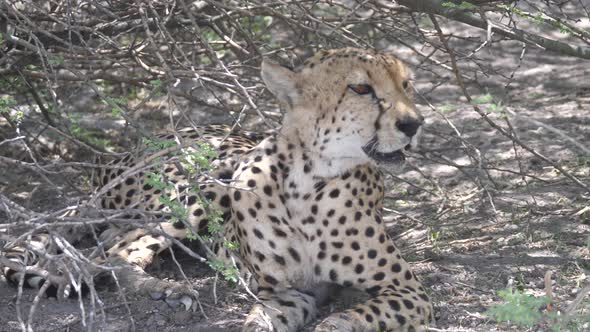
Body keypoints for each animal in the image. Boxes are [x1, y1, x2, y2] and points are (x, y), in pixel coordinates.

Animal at [1, 48, 434, 330]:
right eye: (361, 89)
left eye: (407, 85)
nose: (414, 124)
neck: (307, 182)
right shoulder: (284, 292)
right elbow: (259, 320)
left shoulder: (407, 291)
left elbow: (359, 314)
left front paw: (338, 323)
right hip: (203, 188)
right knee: (108, 252)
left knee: (114, 247)